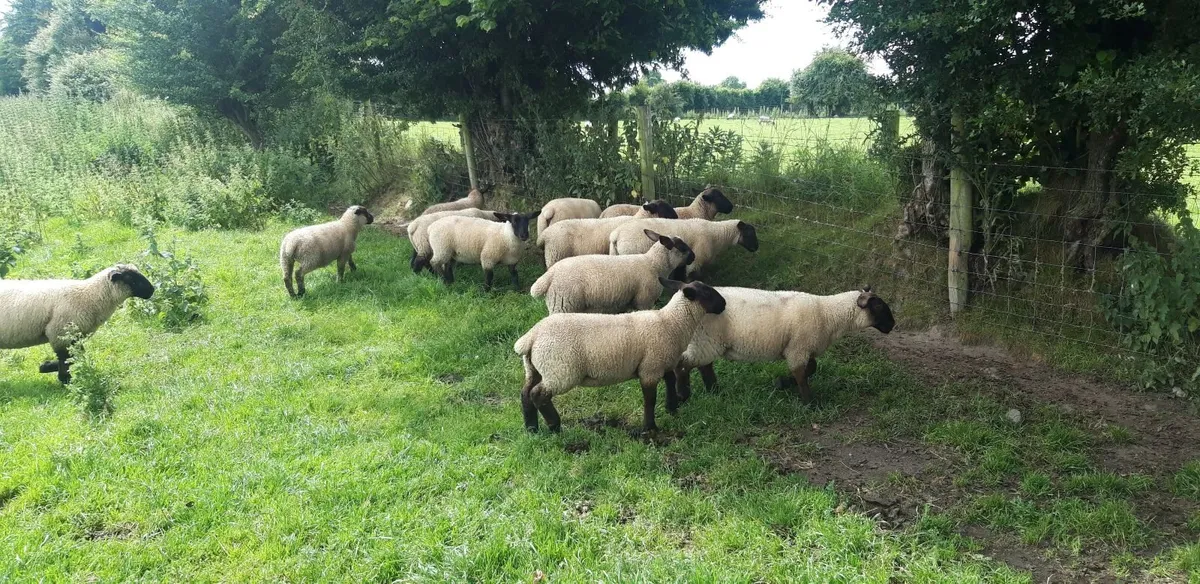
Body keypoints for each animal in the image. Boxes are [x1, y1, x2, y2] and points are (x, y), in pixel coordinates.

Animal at [0, 264, 155, 384]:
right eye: (130, 278)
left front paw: (46, 366)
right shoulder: (59, 333)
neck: (90, 295)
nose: (152, 290)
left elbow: (75, 356)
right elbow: (66, 358)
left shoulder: (74, 336)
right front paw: (65, 379)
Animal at [514, 278, 727, 433]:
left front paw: (672, 409)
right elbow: (650, 399)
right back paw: (554, 426)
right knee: (538, 394)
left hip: (535, 368)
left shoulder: (662, 362)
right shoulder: (650, 369)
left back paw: (531, 428)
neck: (672, 322)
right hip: (560, 370)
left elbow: (670, 382)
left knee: (525, 393)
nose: (724, 304)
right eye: (707, 293)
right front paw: (650, 427)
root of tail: (531, 338)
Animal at [530, 229, 695, 314]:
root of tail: (548, 276)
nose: (693, 257)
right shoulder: (644, 300)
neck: (654, 264)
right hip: (564, 305)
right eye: (682, 247)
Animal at [608, 218, 759, 279]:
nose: (756, 248)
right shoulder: (696, 260)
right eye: (749, 233)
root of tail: (616, 234)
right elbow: (691, 277)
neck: (716, 234)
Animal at [672, 287, 895, 404]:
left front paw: (783, 383)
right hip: (707, 340)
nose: (893, 325)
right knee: (683, 365)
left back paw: (714, 390)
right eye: (878, 305)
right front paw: (809, 403)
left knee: (703, 366)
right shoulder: (798, 348)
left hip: (706, 342)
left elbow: (811, 368)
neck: (829, 314)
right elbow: (802, 374)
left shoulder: (802, 347)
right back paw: (683, 395)